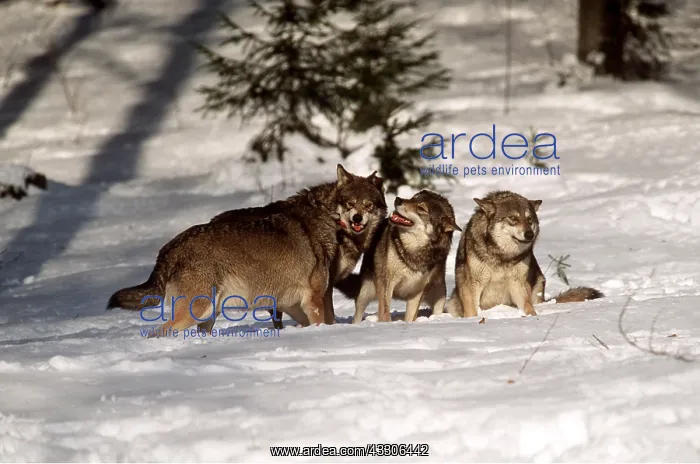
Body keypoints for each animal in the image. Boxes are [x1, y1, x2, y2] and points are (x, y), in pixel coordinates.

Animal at [336, 190, 461, 323]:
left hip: (440, 296)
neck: (413, 251)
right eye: (413, 198)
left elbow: (410, 317)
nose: (398, 199)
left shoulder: (416, 292)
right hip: (366, 293)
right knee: (358, 313)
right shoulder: (386, 284)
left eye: (421, 208)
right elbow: (385, 314)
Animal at [446, 190, 603, 318]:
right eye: (513, 218)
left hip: (539, 282)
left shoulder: (518, 283)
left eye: (529, 219)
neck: (502, 256)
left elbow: (527, 306)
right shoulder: (473, 284)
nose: (530, 234)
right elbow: (472, 311)